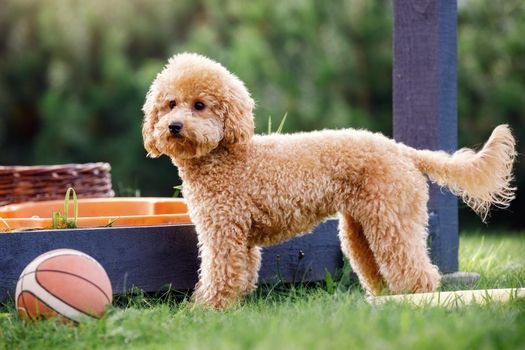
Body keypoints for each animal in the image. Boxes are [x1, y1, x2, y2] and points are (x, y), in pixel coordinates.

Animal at [142, 52, 516, 308]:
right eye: (171, 104)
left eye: (200, 105)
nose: (173, 126)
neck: (225, 155)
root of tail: (403, 150)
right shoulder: (242, 238)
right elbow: (242, 272)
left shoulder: (222, 230)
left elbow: (220, 272)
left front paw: (207, 308)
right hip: (361, 229)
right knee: (380, 269)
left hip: (393, 220)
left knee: (417, 271)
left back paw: (415, 302)